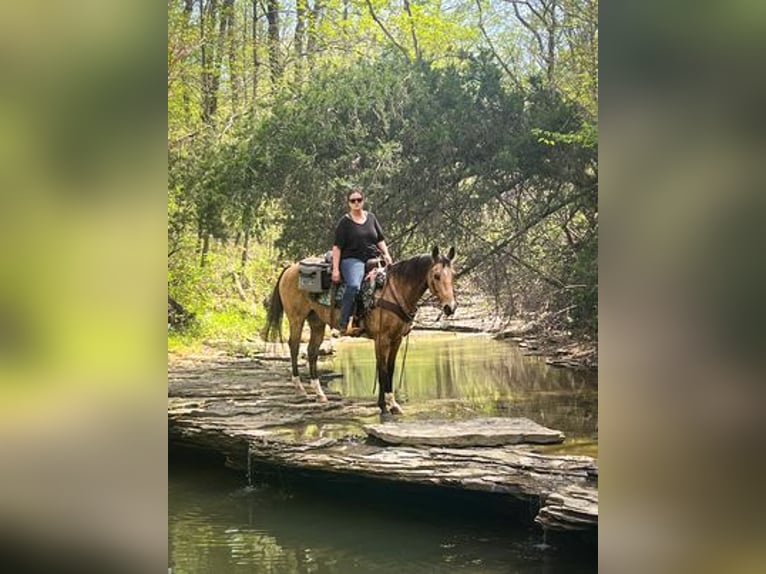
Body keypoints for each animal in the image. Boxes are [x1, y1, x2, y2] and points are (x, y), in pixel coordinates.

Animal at [266, 245, 456, 416]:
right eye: (436, 275)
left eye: (453, 275)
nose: (450, 307)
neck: (395, 291)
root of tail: (291, 267)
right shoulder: (382, 339)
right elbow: (382, 370)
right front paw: (383, 406)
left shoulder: (396, 339)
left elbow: (390, 368)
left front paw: (393, 405)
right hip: (296, 319)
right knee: (294, 346)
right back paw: (299, 387)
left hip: (317, 322)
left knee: (312, 351)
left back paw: (320, 394)